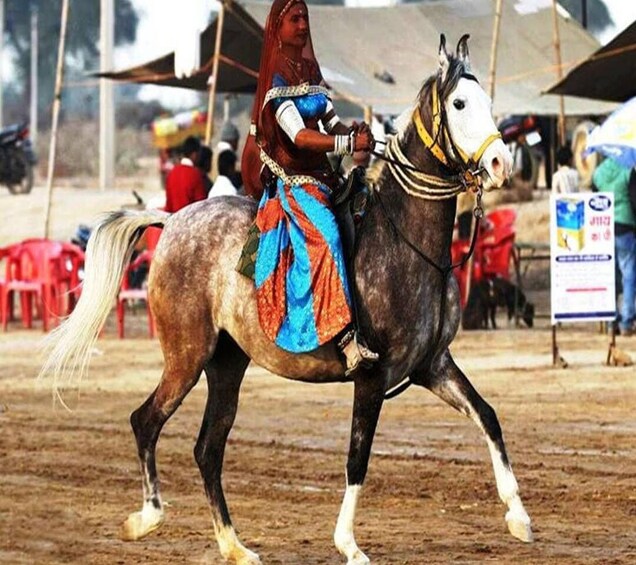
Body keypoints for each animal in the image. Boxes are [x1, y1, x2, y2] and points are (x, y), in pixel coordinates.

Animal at [41, 36, 532, 564]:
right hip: (186, 357)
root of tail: (171, 221)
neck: (406, 238)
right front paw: (348, 544)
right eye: (459, 104)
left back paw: (234, 545)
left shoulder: (431, 365)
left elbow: (488, 417)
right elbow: (357, 458)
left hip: (226, 364)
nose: (500, 163)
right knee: (145, 421)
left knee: (207, 449)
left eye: (487, 102)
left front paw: (518, 516)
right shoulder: (373, 376)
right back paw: (147, 517)